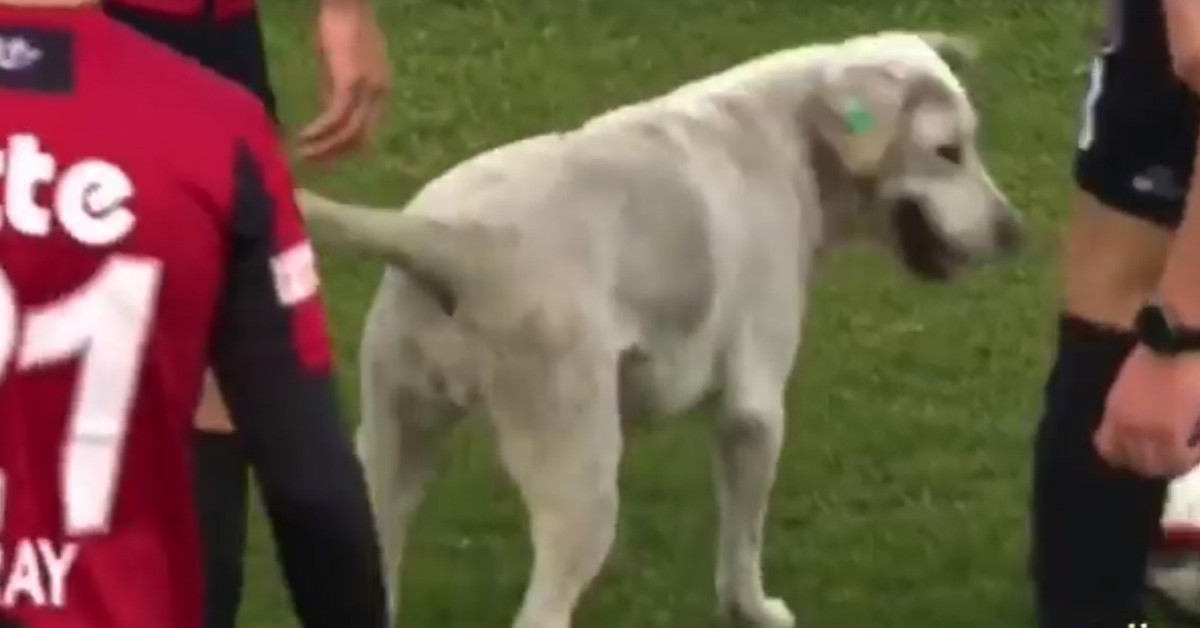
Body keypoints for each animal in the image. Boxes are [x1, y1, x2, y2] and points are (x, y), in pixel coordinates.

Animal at [295, 30, 1017, 628]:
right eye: (947, 152)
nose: (1016, 233)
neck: (788, 135)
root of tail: (454, 240)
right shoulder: (754, 411)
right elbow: (742, 547)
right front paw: (755, 611)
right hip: (578, 485)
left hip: (390, 453)